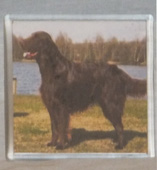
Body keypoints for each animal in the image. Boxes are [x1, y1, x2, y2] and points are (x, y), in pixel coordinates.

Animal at [18, 31, 147, 149]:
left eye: (36, 37)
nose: (20, 41)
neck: (52, 70)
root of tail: (118, 70)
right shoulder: (51, 106)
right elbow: (54, 127)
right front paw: (52, 143)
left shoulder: (61, 106)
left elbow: (61, 127)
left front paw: (60, 145)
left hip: (110, 104)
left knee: (120, 126)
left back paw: (120, 145)